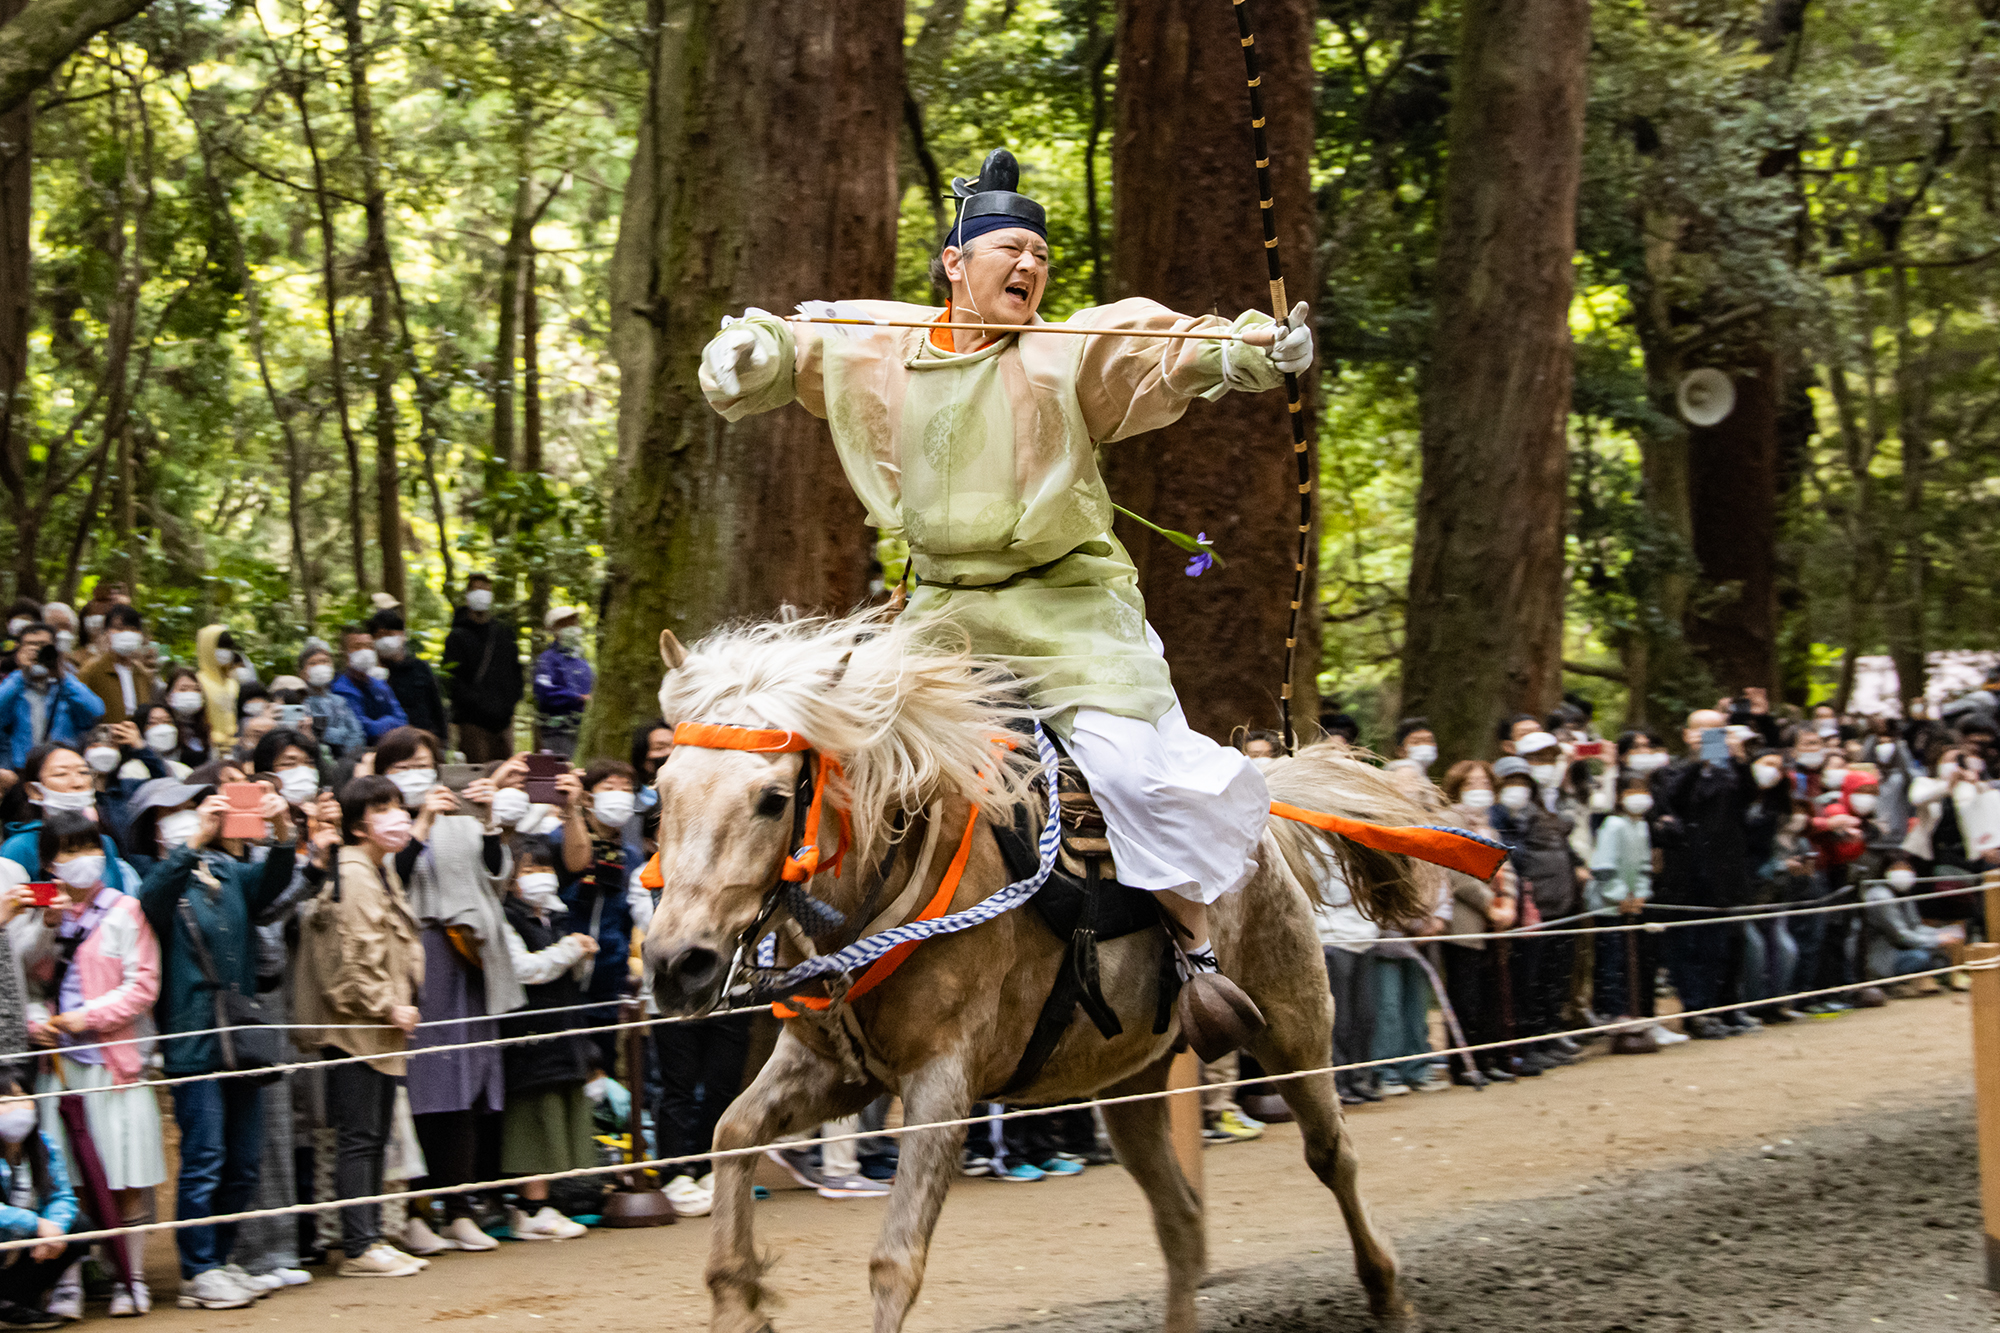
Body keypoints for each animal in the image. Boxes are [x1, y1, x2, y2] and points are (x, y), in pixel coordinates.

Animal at [648, 604, 1448, 1328]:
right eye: (663, 789)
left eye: (772, 798)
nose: (675, 961)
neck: (888, 887)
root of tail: (1261, 808)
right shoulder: (831, 1068)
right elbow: (729, 1137)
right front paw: (741, 1303)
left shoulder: (943, 1081)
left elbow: (895, 1263)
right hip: (1130, 1075)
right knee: (1181, 1218)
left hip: (1290, 1020)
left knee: (1331, 1154)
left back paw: (1388, 1294)